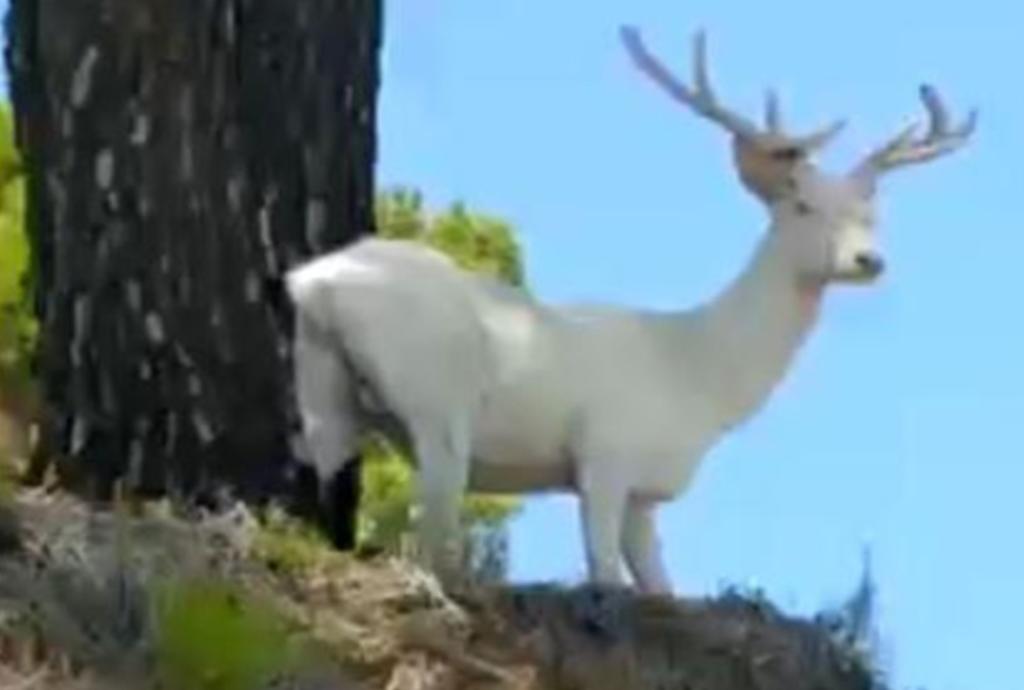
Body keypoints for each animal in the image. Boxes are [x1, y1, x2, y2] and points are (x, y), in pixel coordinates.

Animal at [285, 24, 976, 594]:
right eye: (803, 205)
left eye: (870, 214)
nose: (869, 259)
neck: (698, 378)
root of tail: (312, 280)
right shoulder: (604, 453)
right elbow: (605, 575)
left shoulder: (645, 492)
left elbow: (660, 588)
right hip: (436, 399)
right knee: (431, 532)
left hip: (323, 380)